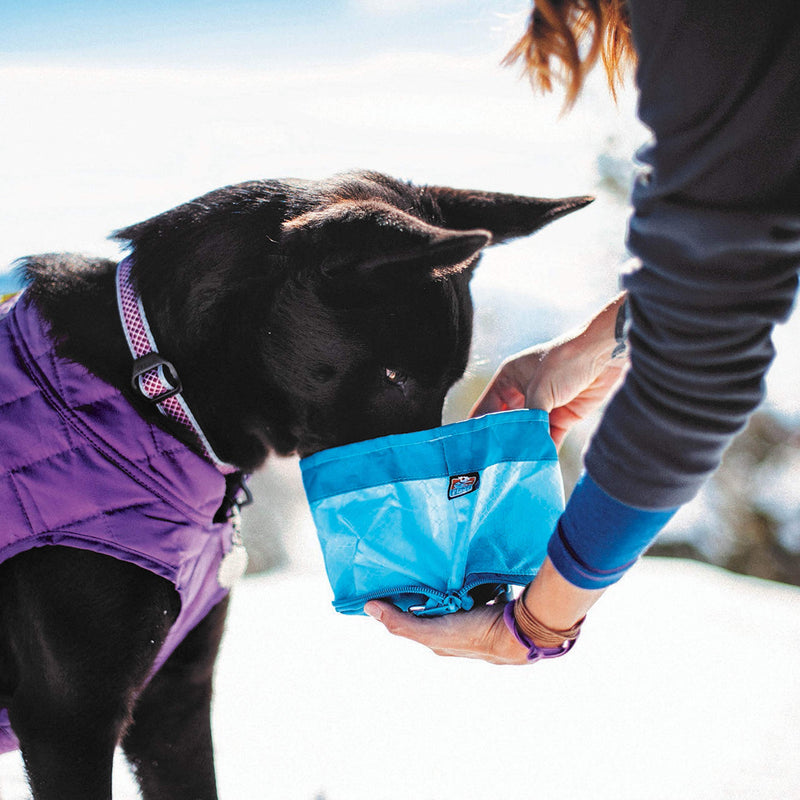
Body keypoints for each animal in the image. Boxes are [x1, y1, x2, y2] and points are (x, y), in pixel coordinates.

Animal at [0, 172, 588, 796]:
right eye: (394, 375)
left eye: (450, 381)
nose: (485, 591)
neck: (157, 389)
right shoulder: (70, 721)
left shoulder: (175, 702)